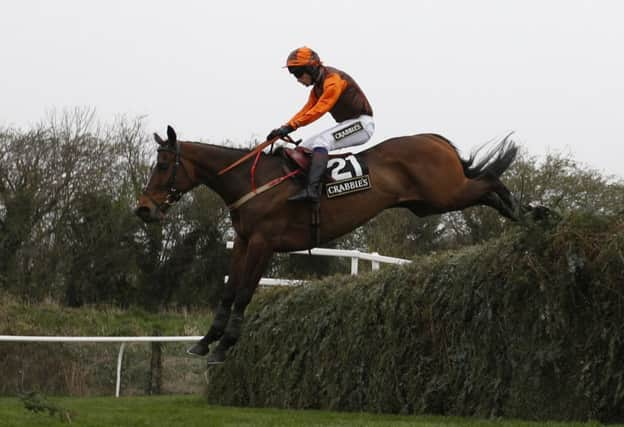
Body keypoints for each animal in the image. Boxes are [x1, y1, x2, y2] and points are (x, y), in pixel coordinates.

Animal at [135, 126, 520, 364]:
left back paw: (525, 211)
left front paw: (224, 346)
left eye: (163, 164)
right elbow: (229, 292)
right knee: (485, 187)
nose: (143, 209)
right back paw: (520, 214)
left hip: (444, 193)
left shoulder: (263, 242)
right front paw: (205, 342)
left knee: (489, 180)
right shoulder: (243, 241)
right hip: (428, 203)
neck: (250, 181)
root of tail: (435, 139)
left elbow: (244, 293)